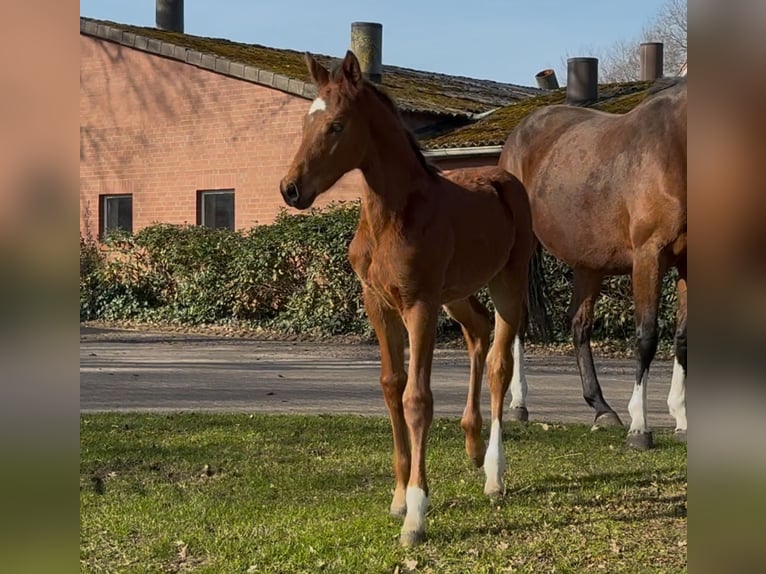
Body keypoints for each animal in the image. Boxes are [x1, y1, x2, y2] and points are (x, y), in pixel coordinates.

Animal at [280, 51, 536, 548]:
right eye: (303, 123)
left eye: (336, 125)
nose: (290, 189)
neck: (391, 217)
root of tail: (505, 177)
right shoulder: (379, 304)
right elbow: (391, 386)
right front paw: (399, 496)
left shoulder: (420, 305)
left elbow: (417, 398)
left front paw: (416, 513)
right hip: (457, 294)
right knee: (478, 334)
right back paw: (472, 444)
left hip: (506, 284)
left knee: (499, 363)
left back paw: (494, 473)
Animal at [498, 80, 688, 450]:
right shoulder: (649, 256)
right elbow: (646, 337)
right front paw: (640, 429)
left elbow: (683, 337)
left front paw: (682, 420)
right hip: (524, 251)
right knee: (520, 320)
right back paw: (518, 405)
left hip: (589, 263)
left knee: (579, 324)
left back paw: (602, 408)